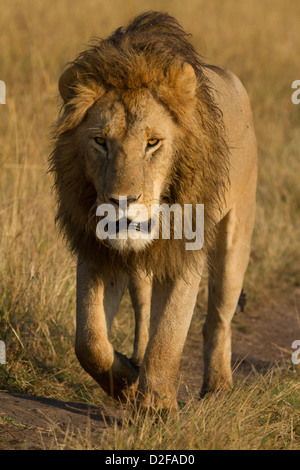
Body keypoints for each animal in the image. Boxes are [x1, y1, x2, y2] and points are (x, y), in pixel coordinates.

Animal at [49, 9, 258, 410]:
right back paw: (136, 365)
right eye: (100, 141)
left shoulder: (185, 253)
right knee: (145, 310)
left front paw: (157, 404)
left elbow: (170, 335)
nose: (122, 202)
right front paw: (126, 384)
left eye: (153, 143)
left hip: (236, 235)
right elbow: (90, 342)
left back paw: (218, 388)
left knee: (218, 317)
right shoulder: (96, 251)